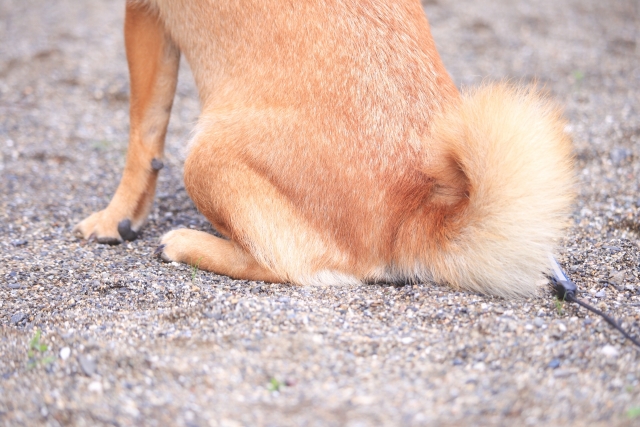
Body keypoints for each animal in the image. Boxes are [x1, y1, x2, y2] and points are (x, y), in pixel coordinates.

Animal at [75, 0, 576, 298]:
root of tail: (418, 212)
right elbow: (149, 134)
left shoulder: (142, 15)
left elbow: (142, 134)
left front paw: (114, 218)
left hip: (206, 154)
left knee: (290, 266)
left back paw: (186, 244)